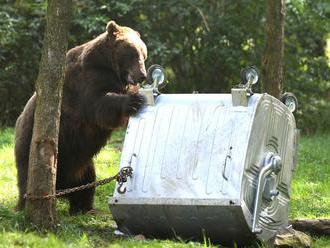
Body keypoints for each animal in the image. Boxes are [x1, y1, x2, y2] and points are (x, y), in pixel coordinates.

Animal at [15, 20, 147, 214]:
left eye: (144, 54)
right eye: (133, 53)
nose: (142, 75)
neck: (108, 66)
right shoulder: (85, 82)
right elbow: (99, 105)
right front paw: (133, 101)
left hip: (80, 161)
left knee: (86, 181)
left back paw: (83, 207)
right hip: (31, 146)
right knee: (26, 177)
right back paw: (23, 206)